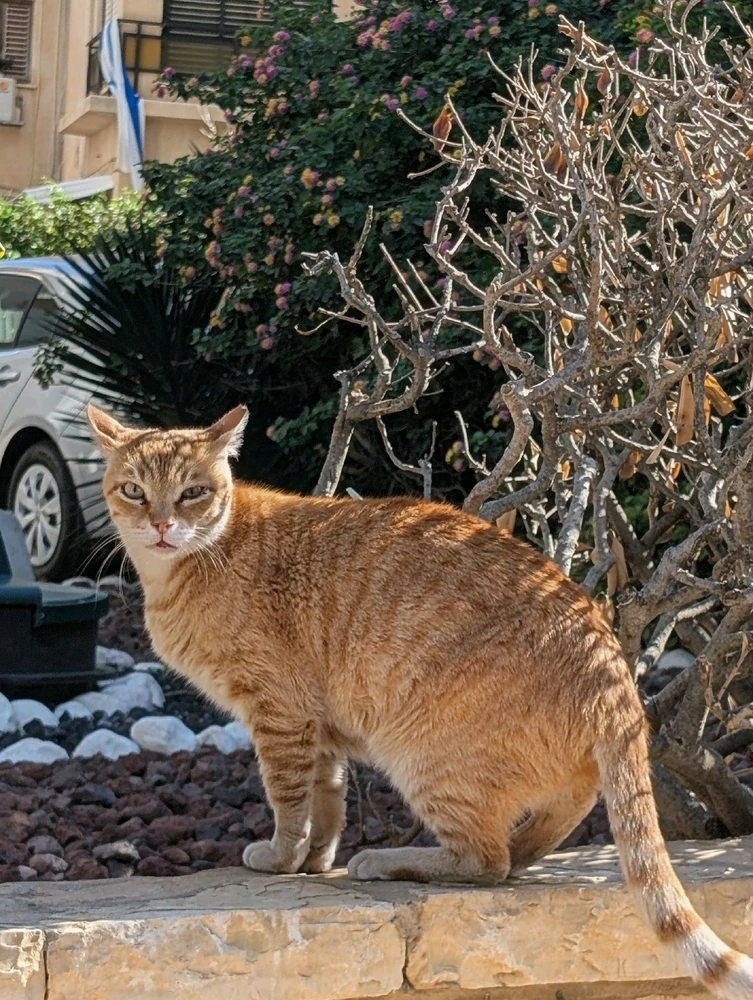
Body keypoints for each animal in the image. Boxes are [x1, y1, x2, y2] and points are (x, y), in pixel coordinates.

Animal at [87, 402, 753, 1000]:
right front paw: (314, 859)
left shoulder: (279, 715)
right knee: (548, 823)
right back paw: (518, 850)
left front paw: (282, 856)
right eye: (134, 491)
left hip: (425, 758)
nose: (162, 525)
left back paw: (393, 860)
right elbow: (328, 800)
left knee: (485, 861)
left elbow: (288, 800)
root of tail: (611, 664)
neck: (196, 562)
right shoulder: (318, 727)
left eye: (194, 492)